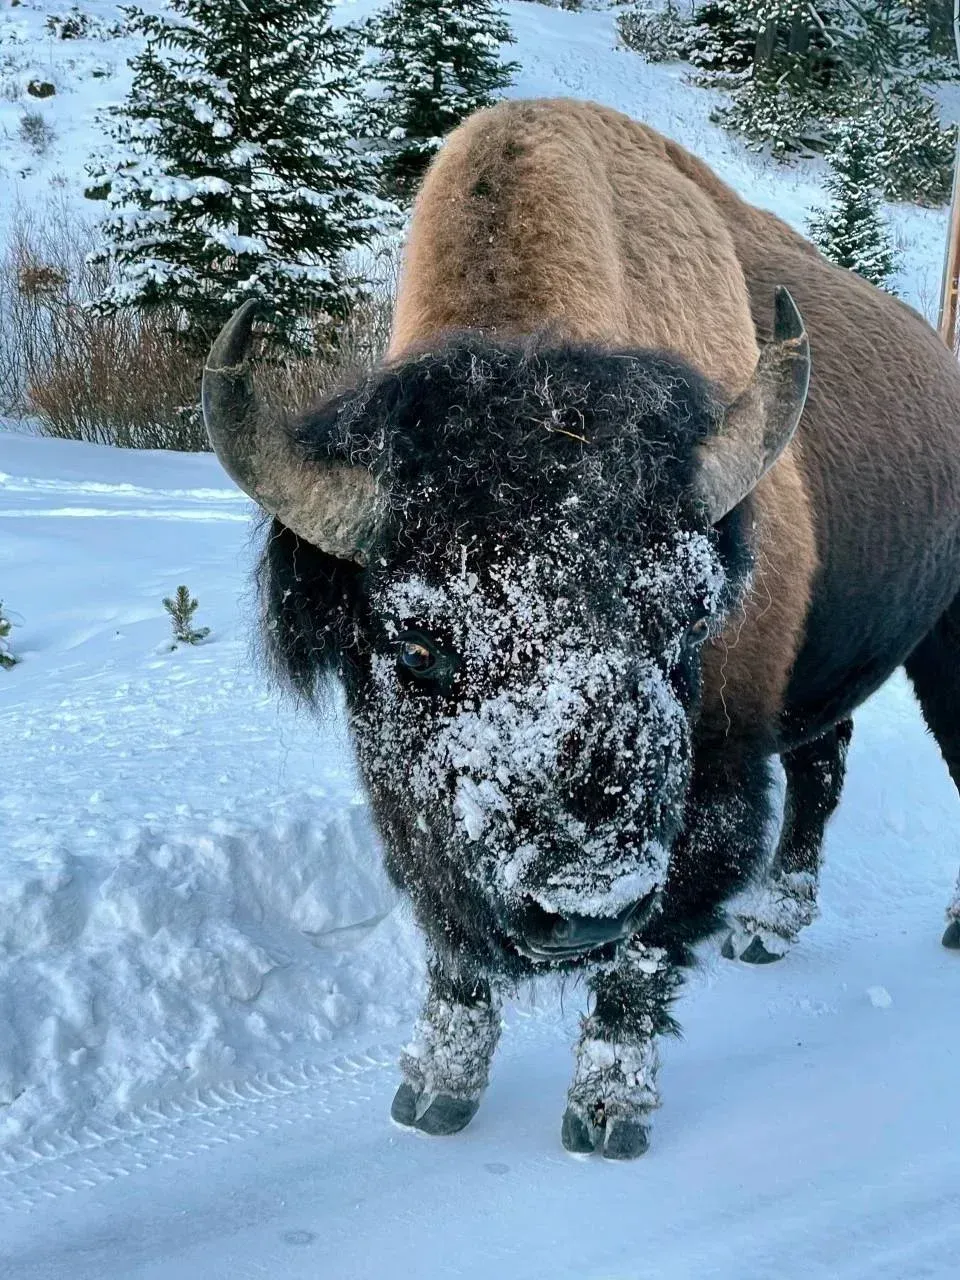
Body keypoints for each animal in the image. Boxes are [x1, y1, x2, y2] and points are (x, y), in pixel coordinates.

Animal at [202, 99, 960, 1159]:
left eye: (688, 617)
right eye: (419, 648)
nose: (581, 906)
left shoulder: (708, 776)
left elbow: (647, 952)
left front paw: (608, 1112)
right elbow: (453, 942)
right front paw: (433, 1094)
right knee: (822, 772)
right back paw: (769, 929)